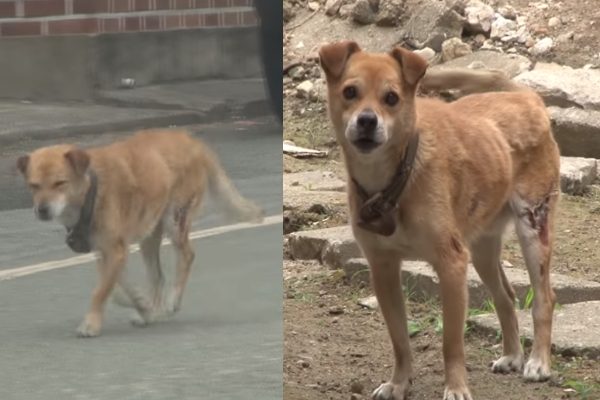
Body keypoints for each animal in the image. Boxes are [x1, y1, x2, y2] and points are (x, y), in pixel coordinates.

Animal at [16, 131, 264, 338]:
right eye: (33, 185)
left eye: (60, 183)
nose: (42, 210)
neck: (90, 193)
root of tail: (191, 140)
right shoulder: (106, 252)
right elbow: (117, 287)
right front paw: (141, 303)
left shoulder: (115, 251)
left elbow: (101, 291)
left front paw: (91, 323)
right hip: (149, 234)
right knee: (157, 276)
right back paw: (151, 309)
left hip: (176, 219)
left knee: (186, 256)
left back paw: (172, 301)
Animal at [322, 41, 560, 400]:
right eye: (350, 92)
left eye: (391, 98)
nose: (366, 121)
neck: (396, 178)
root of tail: (525, 98)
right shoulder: (383, 267)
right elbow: (399, 339)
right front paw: (398, 383)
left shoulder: (451, 265)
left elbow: (451, 341)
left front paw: (456, 387)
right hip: (482, 249)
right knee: (506, 297)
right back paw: (512, 356)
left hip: (533, 227)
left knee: (544, 299)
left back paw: (538, 362)